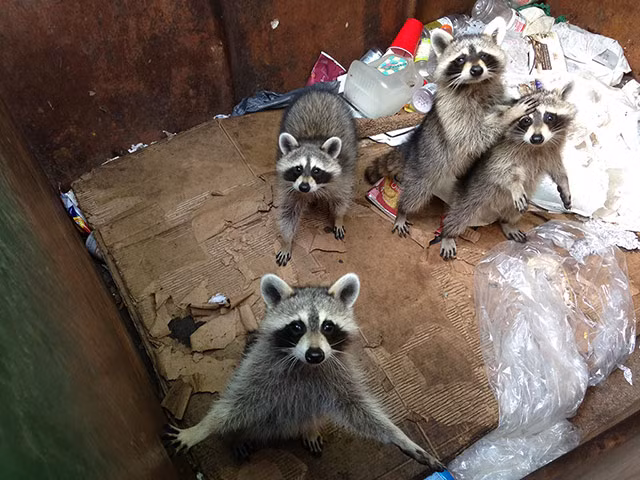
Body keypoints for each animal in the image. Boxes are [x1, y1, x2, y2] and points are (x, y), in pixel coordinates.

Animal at [164, 273, 444, 472]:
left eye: (328, 326)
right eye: (297, 326)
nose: (315, 355)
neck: (305, 365)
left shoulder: (338, 374)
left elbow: (359, 410)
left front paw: (400, 437)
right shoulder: (259, 369)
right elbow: (235, 404)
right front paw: (202, 429)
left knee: (313, 410)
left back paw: (308, 427)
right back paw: (238, 438)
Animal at [275, 90, 358, 266]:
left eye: (316, 170)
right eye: (298, 169)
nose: (304, 187)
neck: (312, 141)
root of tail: (319, 90)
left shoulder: (342, 177)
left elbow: (341, 199)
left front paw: (338, 218)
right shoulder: (290, 187)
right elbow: (288, 214)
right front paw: (287, 241)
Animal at [364, 18, 538, 236]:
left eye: (483, 55)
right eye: (461, 59)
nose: (476, 70)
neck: (476, 84)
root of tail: (411, 148)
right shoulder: (453, 112)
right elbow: (472, 136)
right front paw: (509, 114)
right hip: (425, 168)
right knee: (416, 192)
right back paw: (402, 211)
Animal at [440, 84, 576, 260]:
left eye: (549, 117)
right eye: (526, 120)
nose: (536, 138)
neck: (536, 147)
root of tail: (493, 209)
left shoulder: (550, 152)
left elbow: (557, 169)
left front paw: (564, 183)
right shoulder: (502, 152)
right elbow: (503, 171)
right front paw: (515, 184)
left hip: (515, 200)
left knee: (512, 211)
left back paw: (507, 222)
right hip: (472, 192)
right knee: (460, 214)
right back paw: (448, 234)